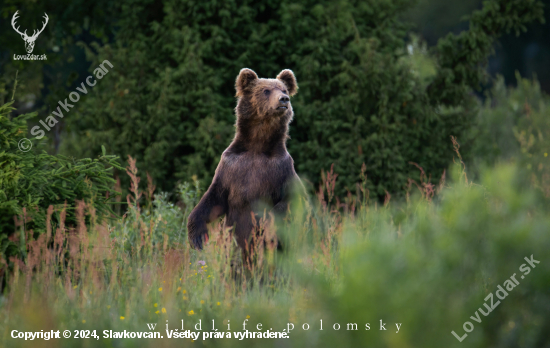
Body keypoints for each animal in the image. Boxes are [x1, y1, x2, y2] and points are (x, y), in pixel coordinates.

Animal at [188, 68, 304, 251]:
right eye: (266, 90)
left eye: (284, 89)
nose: (284, 99)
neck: (257, 146)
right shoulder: (231, 166)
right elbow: (213, 199)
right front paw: (197, 237)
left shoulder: (281, 168)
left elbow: (292, 199)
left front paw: (265, 226)